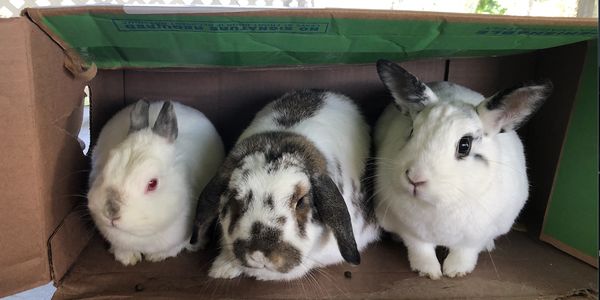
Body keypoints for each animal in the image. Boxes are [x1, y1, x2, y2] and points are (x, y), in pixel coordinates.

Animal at [90, 100, 226, 264]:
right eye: (107, 166)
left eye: (152, 183)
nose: (111, 212)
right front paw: (128, 259)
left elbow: (175, 248)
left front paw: (155, 257)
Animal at [376, 59, 552, 280]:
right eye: (411, 131)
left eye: (464, 145)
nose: (415, 178)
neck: (441, 204)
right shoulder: (412, 233)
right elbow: (421, 249)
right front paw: (429, 272)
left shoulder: (475, 238)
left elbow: (465, 252)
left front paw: (456, 272)